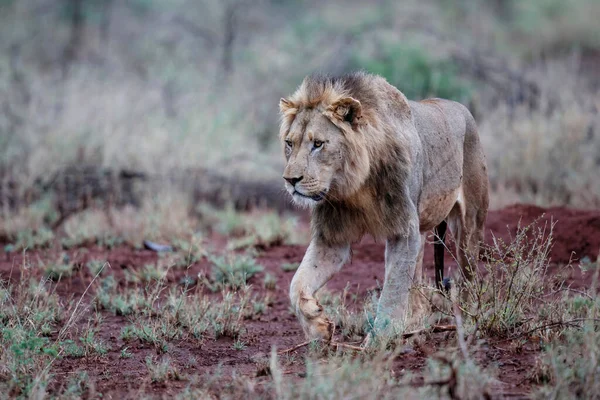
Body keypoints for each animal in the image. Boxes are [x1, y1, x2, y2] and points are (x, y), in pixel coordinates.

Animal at [278, 72, 490, 340]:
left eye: (318, 144)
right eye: (289, 143)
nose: (290, 180)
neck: (356, 186)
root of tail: (462, 108)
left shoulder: (403, 231)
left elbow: (392, 292)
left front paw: (377, 341)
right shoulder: (332, 238)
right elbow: (296, 283)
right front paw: (317, 325)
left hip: (469, 226)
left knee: (469, 277)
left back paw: (470, 321)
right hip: (422, 229)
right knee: (418, 287)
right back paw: (413, 325)